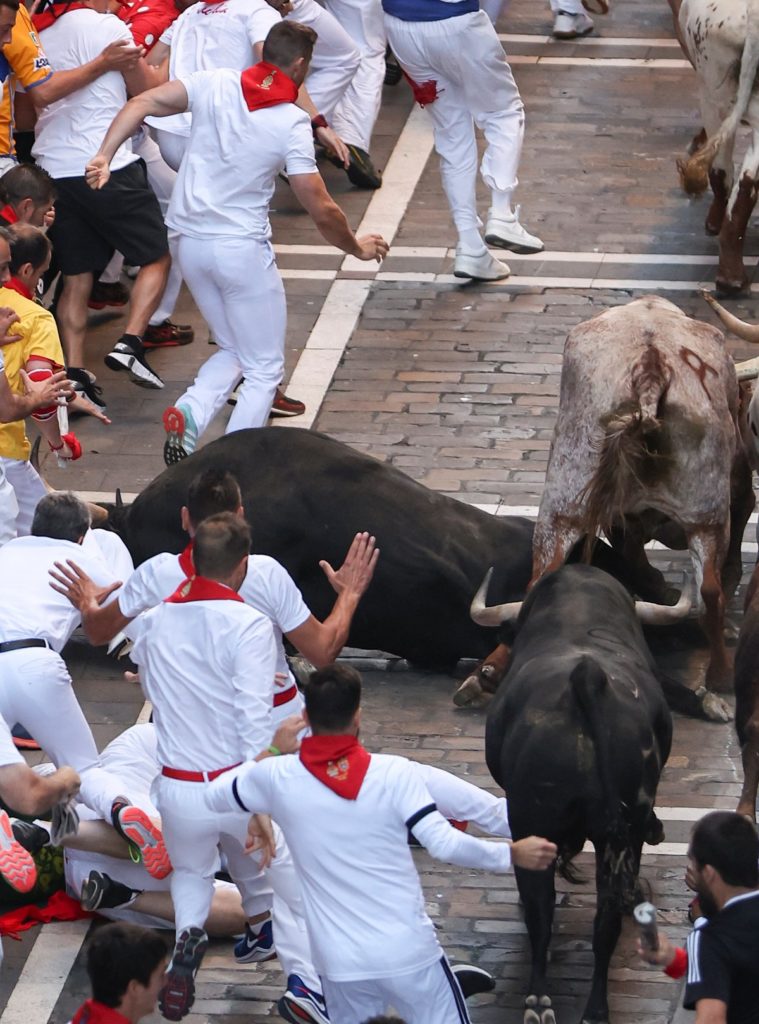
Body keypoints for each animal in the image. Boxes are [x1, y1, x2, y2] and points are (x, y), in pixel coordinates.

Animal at [485, 565, 667, 1024]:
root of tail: (588, 676)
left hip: (533, 817)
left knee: (541, 910)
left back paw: (538, 1001)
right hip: (623, 832)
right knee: (604, 921)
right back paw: (594, 1010)